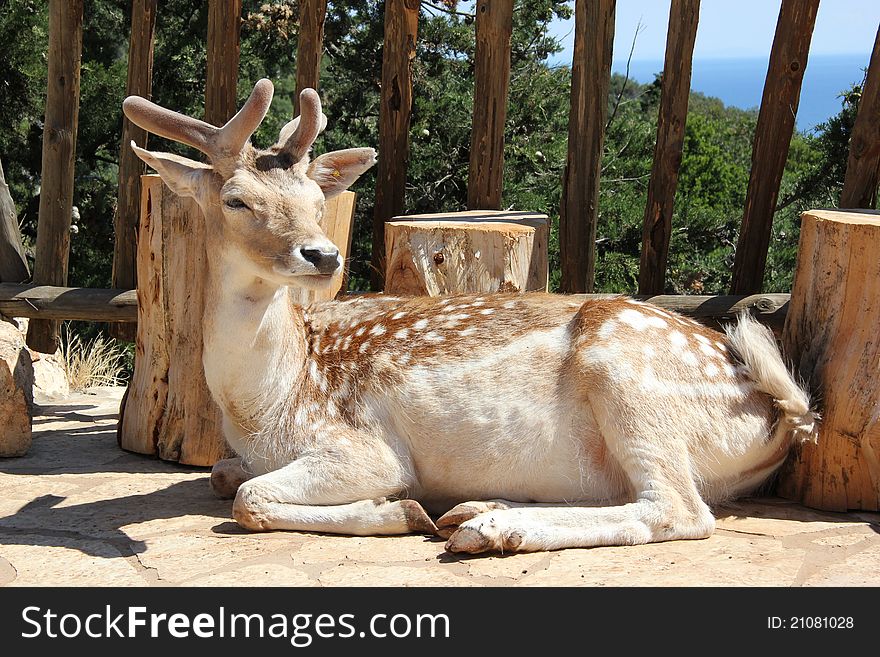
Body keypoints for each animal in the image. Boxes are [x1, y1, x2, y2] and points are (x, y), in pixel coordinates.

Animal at [122, 78, 820, 552]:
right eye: (235, 200)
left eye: (317, 200)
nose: (323, 254)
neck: (266, 405)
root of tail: (778, 409)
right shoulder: (243, 452)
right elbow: (223, 474)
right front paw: (413, 510)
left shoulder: (360, 448)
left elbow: (248, 497)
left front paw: (399, 511)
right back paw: (471, 509)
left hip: (628, 376)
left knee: (679, 509)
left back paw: (488, 528)